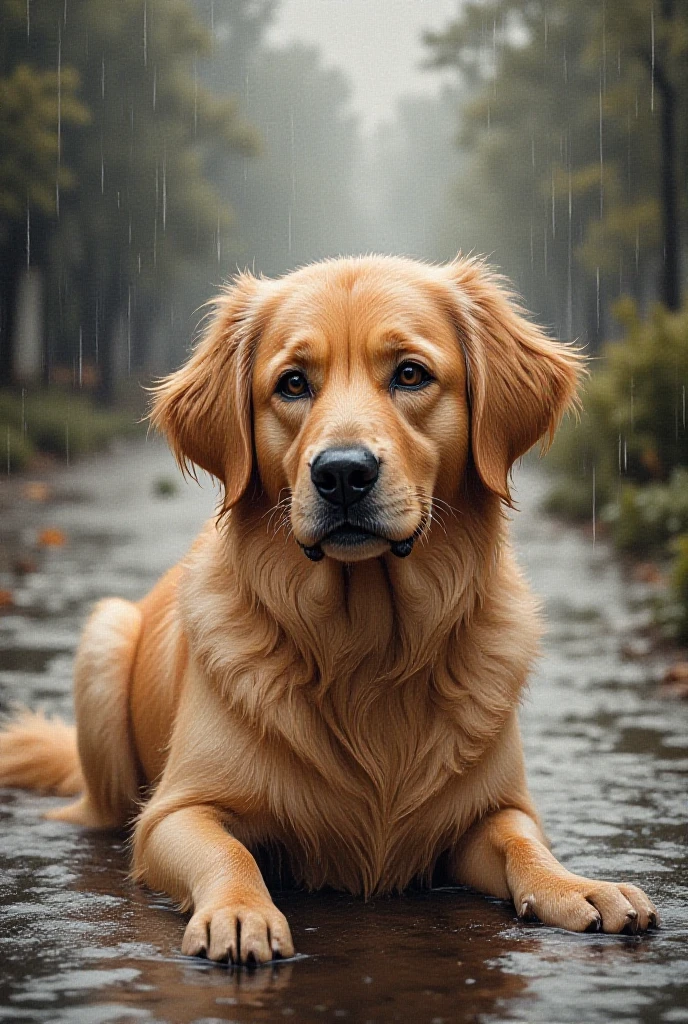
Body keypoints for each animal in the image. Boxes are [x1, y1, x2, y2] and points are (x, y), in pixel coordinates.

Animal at [0, 253, 659, 958]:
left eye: (409, 373)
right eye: (292, 383)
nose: (343, 473)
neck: (370, 645)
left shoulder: (494, 808)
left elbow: (525, 845)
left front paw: (581, 886)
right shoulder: (173, 813)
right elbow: (229, 852)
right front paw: (241, 912)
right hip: (106, 635)